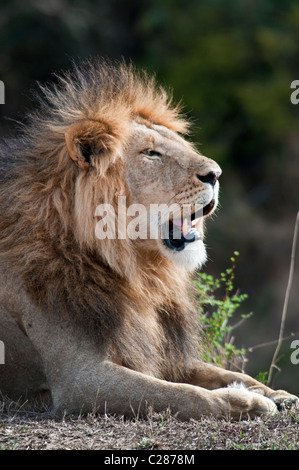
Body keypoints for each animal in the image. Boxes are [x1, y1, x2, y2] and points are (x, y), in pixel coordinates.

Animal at [0, 58, 298, 418]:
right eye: (151, 153)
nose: (216, 174)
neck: (137, 272)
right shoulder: (78, 379)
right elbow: (182, 394)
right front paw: (248, 402)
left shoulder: (162, 352)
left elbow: (219, 371)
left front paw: (275, 393)